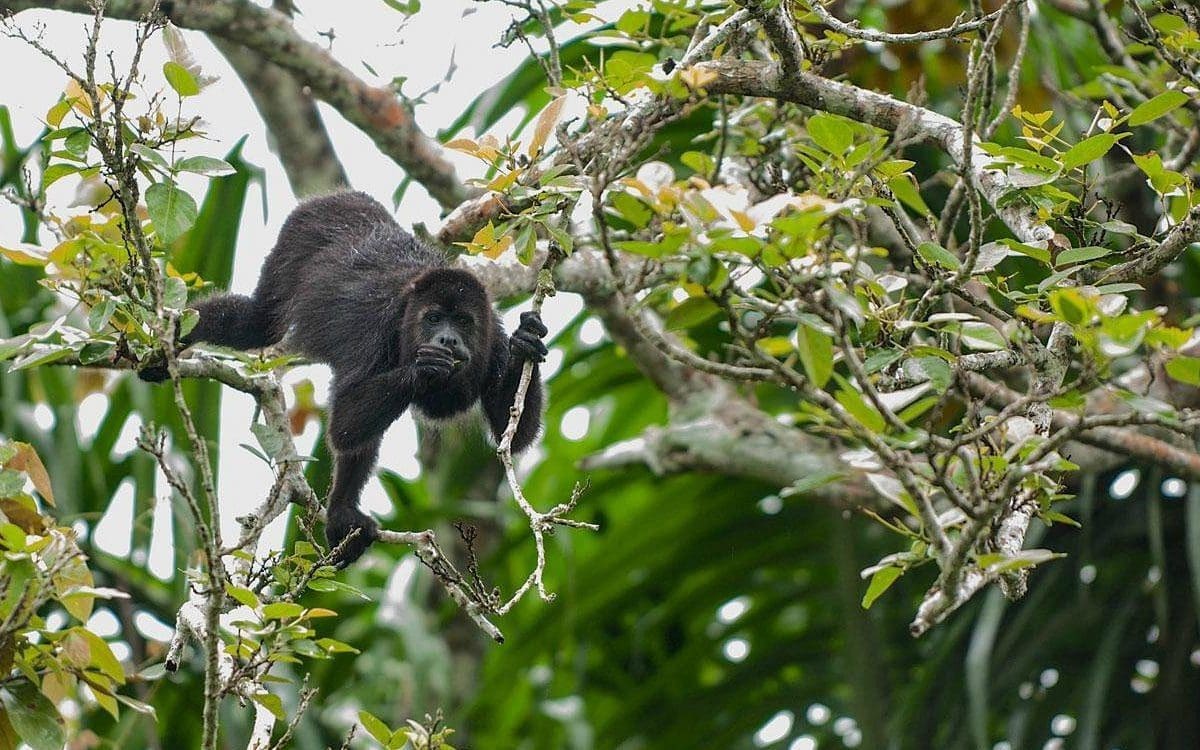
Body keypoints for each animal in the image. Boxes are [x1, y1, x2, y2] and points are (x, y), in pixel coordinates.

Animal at [141, 191, 548, 567]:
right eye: (433, 319)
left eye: (462, 320)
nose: (447, 340)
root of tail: (343, 196)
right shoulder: (377, 334)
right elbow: (345, 426)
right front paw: (423, 367)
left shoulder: (492, 341)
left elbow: (512, 439)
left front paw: (526, 342)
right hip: (297, 236)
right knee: (257, 322)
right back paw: (169, 340)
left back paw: (342, 515)